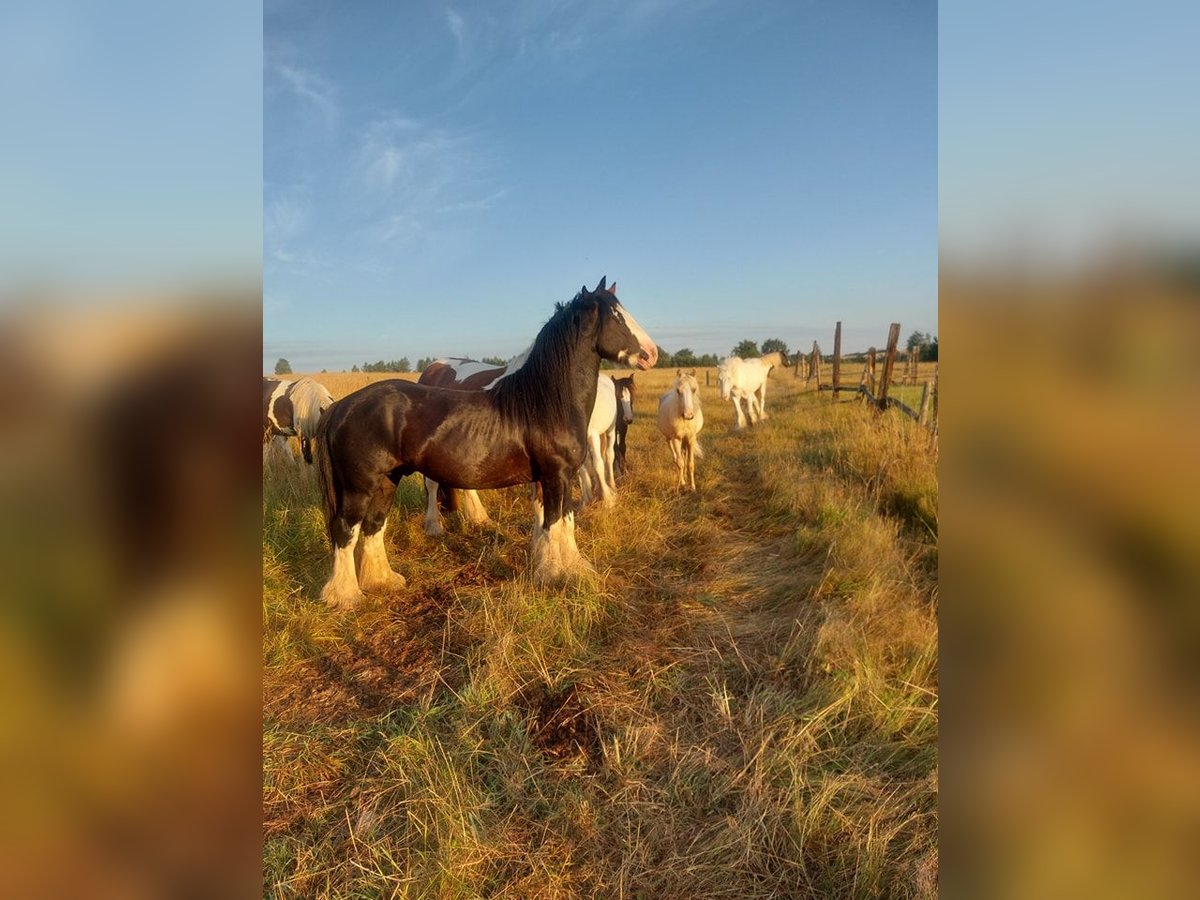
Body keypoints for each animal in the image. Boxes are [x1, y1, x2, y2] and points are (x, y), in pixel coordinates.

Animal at [312, 278, 657, 609]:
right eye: (616, 317)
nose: (651, 353)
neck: (545, 401)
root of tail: (341, 407)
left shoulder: (552, 478)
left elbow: (561, 521)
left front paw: (569, 567)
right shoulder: (556, 476)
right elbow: (556, 523)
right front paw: (553, 575)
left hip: (387, 480)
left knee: (373, 526)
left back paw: (383, 581)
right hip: (359, 486)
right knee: (346, 530)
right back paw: (345, 596)